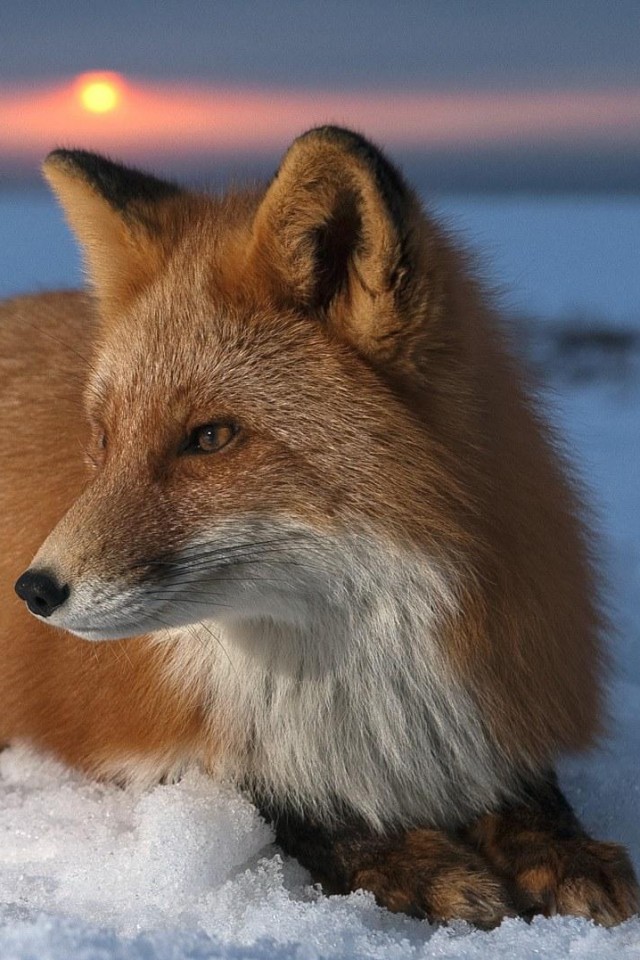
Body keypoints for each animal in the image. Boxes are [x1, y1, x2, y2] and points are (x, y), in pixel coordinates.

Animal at [0, 126, 638, 928]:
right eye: (105, 440)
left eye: (211, 437)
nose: (34, 590)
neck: (362, 678)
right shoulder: (132, 742)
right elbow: (273, 801)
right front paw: (406, 860)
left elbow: (532, 789)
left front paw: (561, 848)